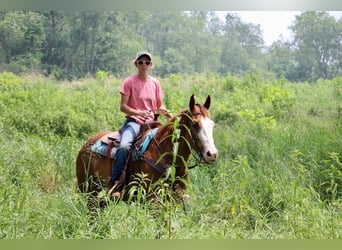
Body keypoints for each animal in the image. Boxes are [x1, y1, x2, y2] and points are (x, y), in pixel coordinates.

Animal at [76, 94, 218, 202]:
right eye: (195, 124)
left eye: (212, 124)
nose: (212, 154)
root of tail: (86, 144)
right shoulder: (152, 200)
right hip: (87, 191)